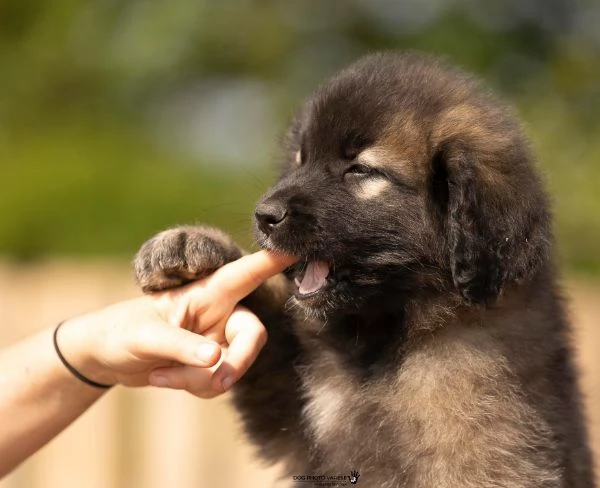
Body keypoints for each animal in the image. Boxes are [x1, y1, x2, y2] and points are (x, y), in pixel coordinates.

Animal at [135, 53, 596, 488]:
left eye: (360, 169)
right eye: (301, 160)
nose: (264, 214)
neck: (387, 343)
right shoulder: (299, 418)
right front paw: (190, 245)